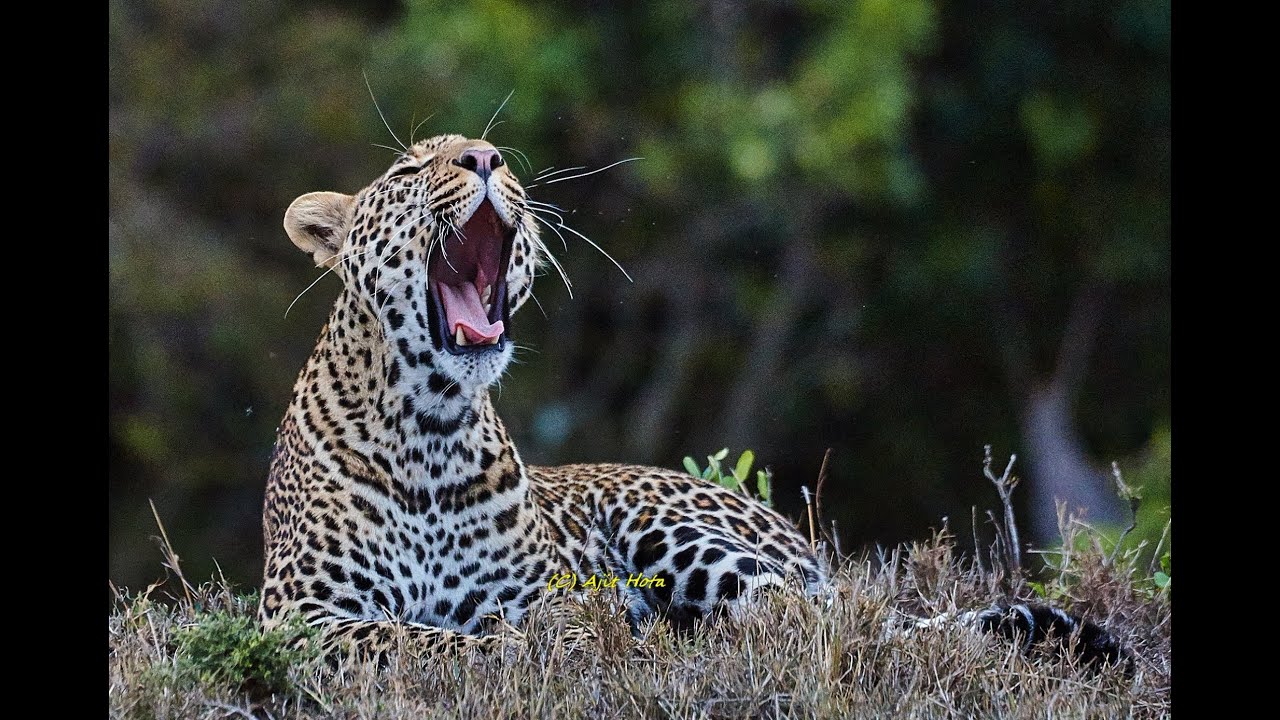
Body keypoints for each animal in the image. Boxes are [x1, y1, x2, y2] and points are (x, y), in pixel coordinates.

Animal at [259, 133, 1128, 668]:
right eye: (407, 173)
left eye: (496, 158)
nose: (485, 158)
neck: (431, 425)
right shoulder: (302, 616)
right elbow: (415, 638)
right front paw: (510, 649)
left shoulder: (543, 590)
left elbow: (547, 623)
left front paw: (584, 642)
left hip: (675, 530)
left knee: (813, 620)